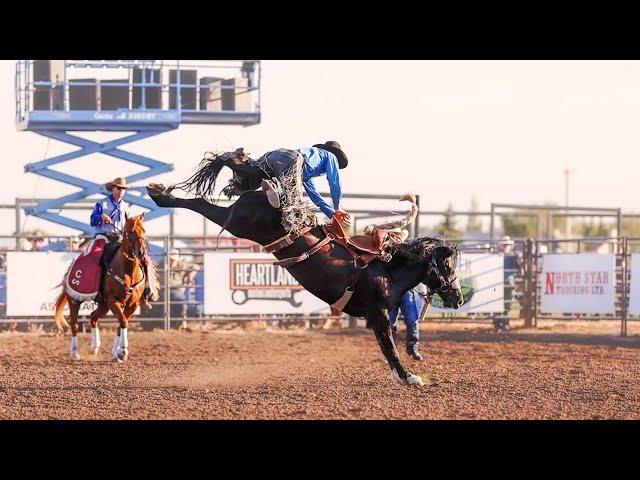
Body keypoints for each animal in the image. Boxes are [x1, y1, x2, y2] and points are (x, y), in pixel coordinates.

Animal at [54, 212, 149, 362]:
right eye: (129, 232)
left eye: (143, 231)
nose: (141, 253)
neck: (128, 271)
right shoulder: (113, 301)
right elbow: (123, 321)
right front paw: (123, 351)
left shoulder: (132, 305)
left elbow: (121, 324)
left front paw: (116, 352)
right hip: (75, 300)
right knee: (74, 325)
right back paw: (75, 352)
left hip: (103, 305)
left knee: (93, 317)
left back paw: (95, 346)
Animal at [148, 152, 462, 384]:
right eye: (448, 265)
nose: (458, 298)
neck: (386, 270)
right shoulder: (378, 315)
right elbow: (389, 348)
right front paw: (409, 377)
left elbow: (393, 344)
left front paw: (406, 371)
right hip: (239, 221)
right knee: (200, 203)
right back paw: (160, 195)